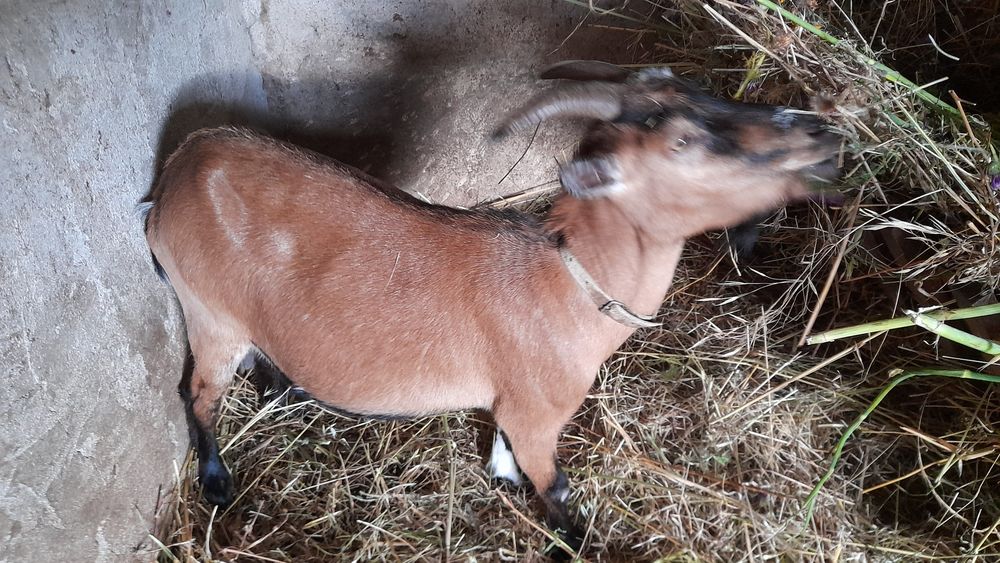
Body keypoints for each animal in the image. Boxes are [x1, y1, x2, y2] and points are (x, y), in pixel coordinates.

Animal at [142, 63, 839, 555]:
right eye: (684, 142)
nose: (816, 130)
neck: (566, 282)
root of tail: (178, 169)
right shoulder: (537, 414)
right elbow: (554, 485)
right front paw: (574, 542)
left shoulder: (511, 405)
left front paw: (504, 480)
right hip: (209, 311)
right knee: (197, 392)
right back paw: (216, 481)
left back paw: (286, 393)